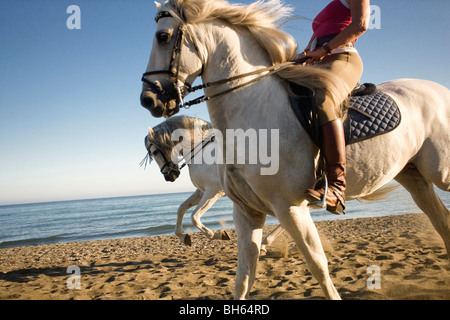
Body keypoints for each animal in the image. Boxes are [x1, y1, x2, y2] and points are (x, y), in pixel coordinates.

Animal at [139, 0, 448, 300]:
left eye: (163, 37)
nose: (148, 100)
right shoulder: (247, 211)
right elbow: (241, 277)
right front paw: (194, 238)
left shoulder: (281, 204)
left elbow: (317, 265)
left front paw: (214, 236)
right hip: (413, 177)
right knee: (442, 222)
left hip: (439, 172)